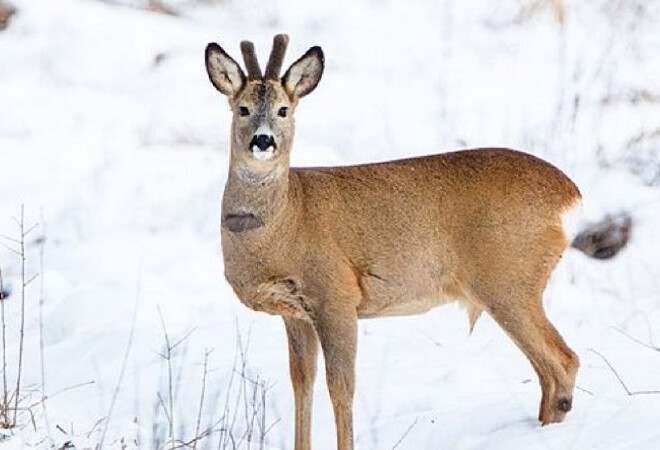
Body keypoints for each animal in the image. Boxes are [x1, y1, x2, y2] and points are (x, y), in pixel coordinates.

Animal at [206, 33, 584, 448]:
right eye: (242, 109)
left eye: (284, 110)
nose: (263, 140)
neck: (285, 224)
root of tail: (571, 195)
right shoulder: (295, 313)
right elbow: (301, 385)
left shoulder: (336, 295)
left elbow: (341, 387)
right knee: (550, 369)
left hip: (509, 279)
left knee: (563, 361)